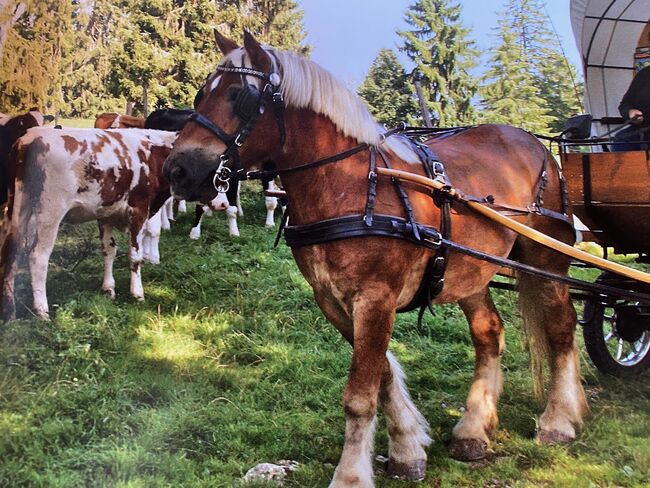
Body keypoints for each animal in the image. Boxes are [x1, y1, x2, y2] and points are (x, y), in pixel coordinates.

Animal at [1, 129, 176, 320]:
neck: (152, 156)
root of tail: (31, 137)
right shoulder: (138, 210)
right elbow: (135, 255)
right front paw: (137, 293)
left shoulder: (106, 214)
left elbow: (109, 251)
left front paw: (108, 289)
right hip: (50, 212)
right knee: (37, 256)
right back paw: (42, 310)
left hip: (18, 207)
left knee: (12, 250)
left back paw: (9, 311)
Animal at [163, 32, 588, 486]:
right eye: (200, 94)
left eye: (240, 97)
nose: (177, 170)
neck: (349, 183)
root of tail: (533, 142)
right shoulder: (334, 301)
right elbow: (381, 375)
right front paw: (406, 448)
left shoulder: (375, 298)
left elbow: (360, 395)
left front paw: (351, 474)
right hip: (471, 270)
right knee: (488, 332)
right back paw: (474, 427)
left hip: (546, 258)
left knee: (561, 327)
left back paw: (559, 419)